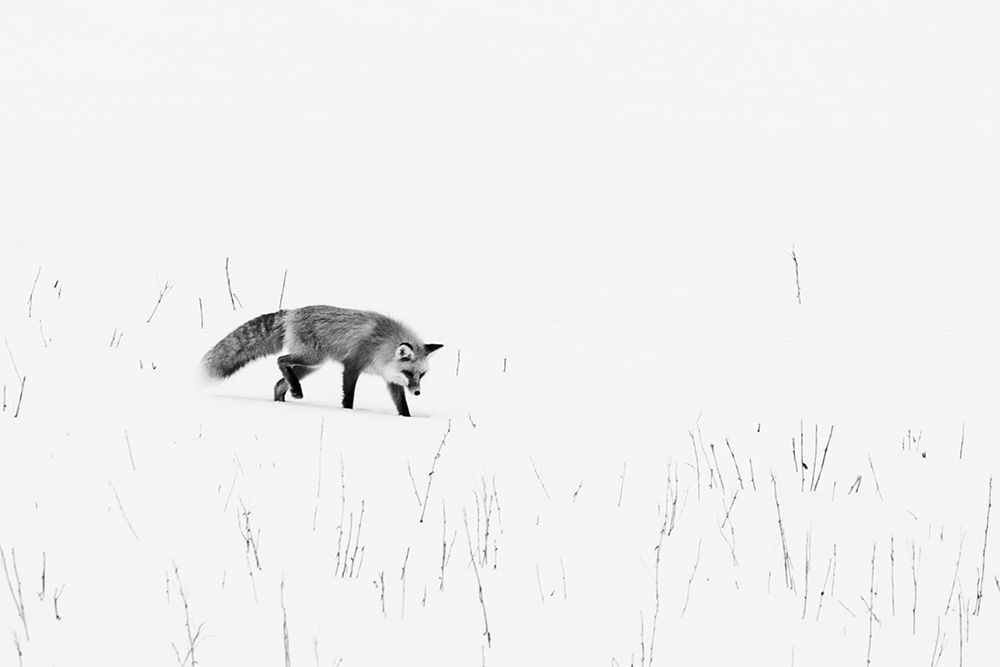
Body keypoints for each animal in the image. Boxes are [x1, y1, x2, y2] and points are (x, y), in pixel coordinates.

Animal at [201, 305, 443, 417]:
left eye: (421, 375)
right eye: (409, 373)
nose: (418, 392)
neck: (381, 344)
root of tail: (291, 312)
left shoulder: (391, 379)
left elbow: (402, 405)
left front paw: (407, 420)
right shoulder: (352, 366)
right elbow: (349, 397)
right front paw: (348, 414)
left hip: (311, 366)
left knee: (279, 383)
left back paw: (286, 399)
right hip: (311, 358)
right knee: (280, 360)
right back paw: (295, 392)